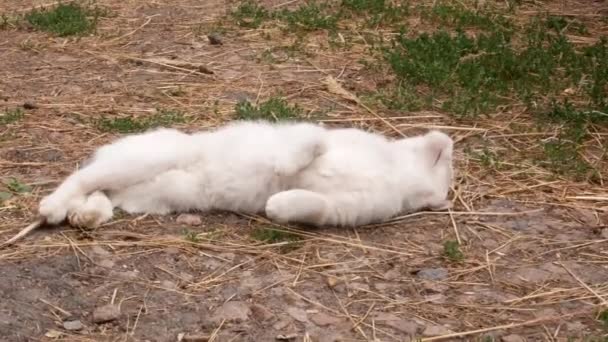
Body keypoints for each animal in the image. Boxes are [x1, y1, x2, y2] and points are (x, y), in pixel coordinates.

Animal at [38, 119, 454, 228]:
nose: (443, 200)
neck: (394, 173)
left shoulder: (342, 209)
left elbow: (312, 205)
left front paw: (276, 206)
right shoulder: (318, 136)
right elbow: (312, 141)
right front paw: (284, 168)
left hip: (144, 194)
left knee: (100, 194)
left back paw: (85, 215)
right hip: (146, 159)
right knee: (81, 178)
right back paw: (52, 208)